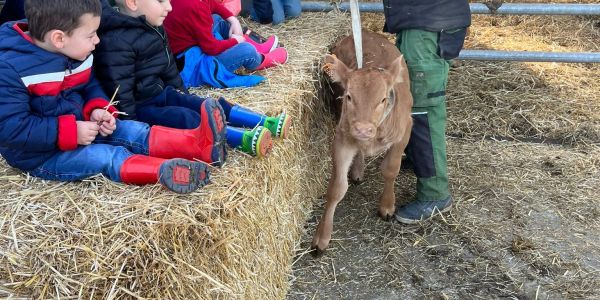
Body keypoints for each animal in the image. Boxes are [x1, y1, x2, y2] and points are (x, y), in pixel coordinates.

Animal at [310, 29, 412, 253]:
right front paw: (322, 237)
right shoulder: (342, 139)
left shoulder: (405, 131)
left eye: (383, 99)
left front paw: (387, 205)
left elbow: (390, 169)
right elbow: (336, 189)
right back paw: (357, 169)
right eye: (349, 96)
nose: (362, 129)